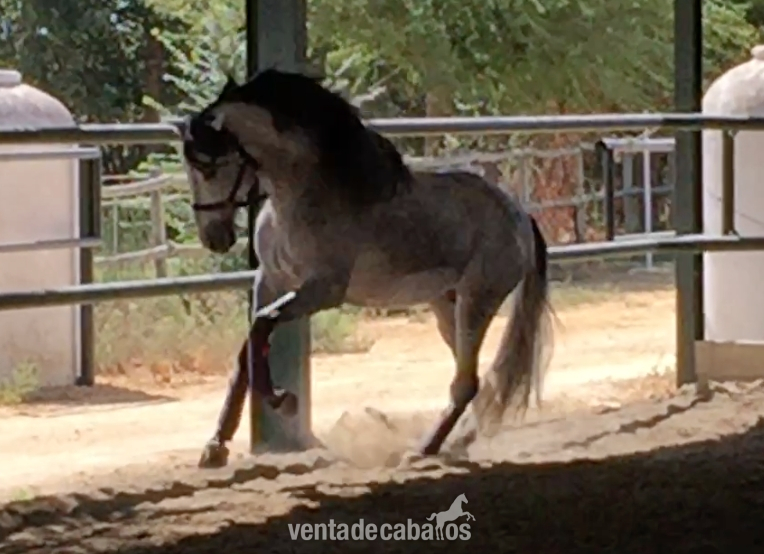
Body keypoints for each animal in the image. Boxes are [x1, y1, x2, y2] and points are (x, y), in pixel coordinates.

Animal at [181, 69, 554, 468]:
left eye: (209, 166)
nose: (214, 238)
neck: (302, 196)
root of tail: (519, 216)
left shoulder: (322, 290)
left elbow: (263, 325)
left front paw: (283, 400)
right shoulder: (271, 280)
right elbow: (248, 349)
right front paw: (215, 447)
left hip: (477, 301)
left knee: (466, 382)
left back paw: (423, 450)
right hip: (445, 305)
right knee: (474, 380)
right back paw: (453, 442)